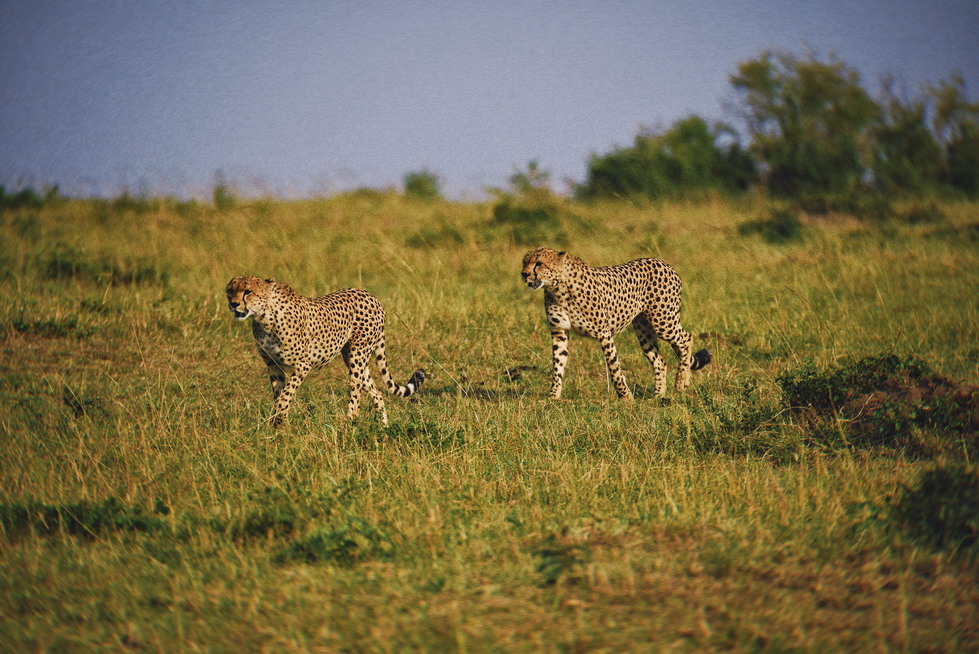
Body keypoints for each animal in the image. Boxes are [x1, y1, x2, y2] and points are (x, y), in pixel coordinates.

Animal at [226, 278, 424, 428]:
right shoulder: (273, 365)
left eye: (248, 291)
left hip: (357, 355)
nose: (233, 304)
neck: (264, 317)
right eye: (230, 290)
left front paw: (280, 419)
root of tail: (371, 295)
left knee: (356, 391)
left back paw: (349, 422)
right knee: (375, 391)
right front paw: (279, 424)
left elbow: (285, 395)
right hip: (352, 356)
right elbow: (279, 395)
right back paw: (383, 426)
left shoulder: (302, 365)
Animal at [520, 250, 712, 400]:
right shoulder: (559, 331)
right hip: (644, 331)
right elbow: (558, 365)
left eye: (539, 263)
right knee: (660, 361)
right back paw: (658, 394)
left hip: (663, 321)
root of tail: (662, 262)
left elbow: (613, 367)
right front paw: (553, 395)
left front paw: (625, 396)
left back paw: (681, 382)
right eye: (525, 262)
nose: (524, 274)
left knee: (686, 339)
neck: (558, 287)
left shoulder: (603, 333)